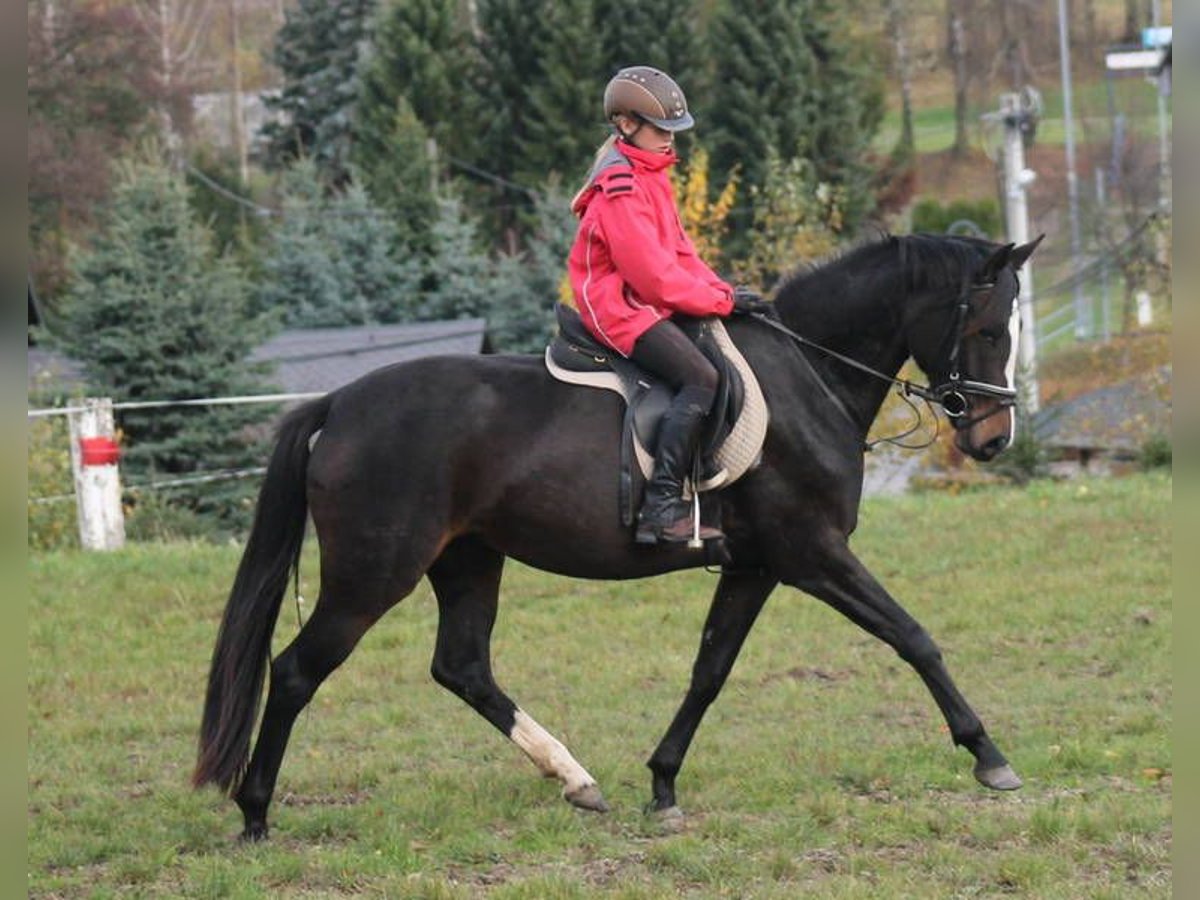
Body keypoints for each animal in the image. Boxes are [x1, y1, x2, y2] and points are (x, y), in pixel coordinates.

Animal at [194, 230, 1041, 840]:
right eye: (986, 327)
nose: (995, 438)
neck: (809, 374)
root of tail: (338, 404)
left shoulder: (756, 567)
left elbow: (709, 671)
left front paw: (662, 784)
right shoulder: (813, 554)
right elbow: (913, 637)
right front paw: (988, 755)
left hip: (468, 559)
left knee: (462, 667)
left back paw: (576, 780)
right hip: (373, 574)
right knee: (296, 671)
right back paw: (256, 813)